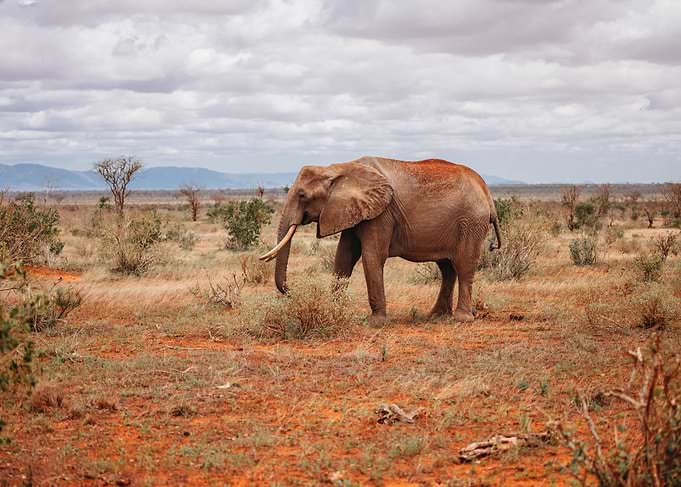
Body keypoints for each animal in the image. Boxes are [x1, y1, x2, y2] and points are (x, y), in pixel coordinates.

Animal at [259, 156, 501, 322]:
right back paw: (436, 316)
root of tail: (487, 193)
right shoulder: (354, 211)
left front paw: (376, 322)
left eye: (302, 195)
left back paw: (461, 318)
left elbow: (372, 256)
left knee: (463, 266)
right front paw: (333, 310)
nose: (291, 290)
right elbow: (343, 257)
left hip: (471, 222)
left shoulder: (381, 214)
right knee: (447, 268)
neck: (337, 169)